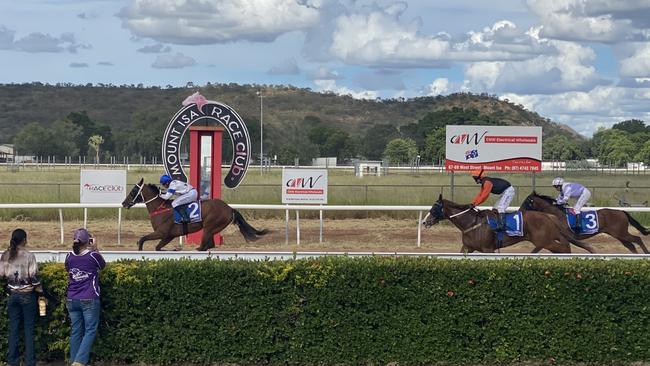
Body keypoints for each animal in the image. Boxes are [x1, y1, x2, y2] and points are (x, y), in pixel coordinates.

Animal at [121, 178, 268, 252]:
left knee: (205, 246)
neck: (160, 209)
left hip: (210, 226)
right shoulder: (169, 235)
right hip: (211, 229)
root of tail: (229, 208)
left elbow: (142, 239)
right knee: (209, 246)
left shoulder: (162, 232)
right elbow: (158, 247)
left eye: (133, 191)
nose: (124, 203)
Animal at [418, 196, 596, 253]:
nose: (425, 221)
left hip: (543, 240)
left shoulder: (488, 250)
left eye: (434, 208)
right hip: (548, 238)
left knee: (564, 246)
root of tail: (548, 216)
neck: (471, 222)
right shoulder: (468, 248)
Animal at [520, 192, 648, 254]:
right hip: (619, 235)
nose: (520, 210)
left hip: (621, 233)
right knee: (631, 245)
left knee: (637, 239)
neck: (557, 215)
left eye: (526, 202)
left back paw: (646, 252)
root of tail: (621, 211)